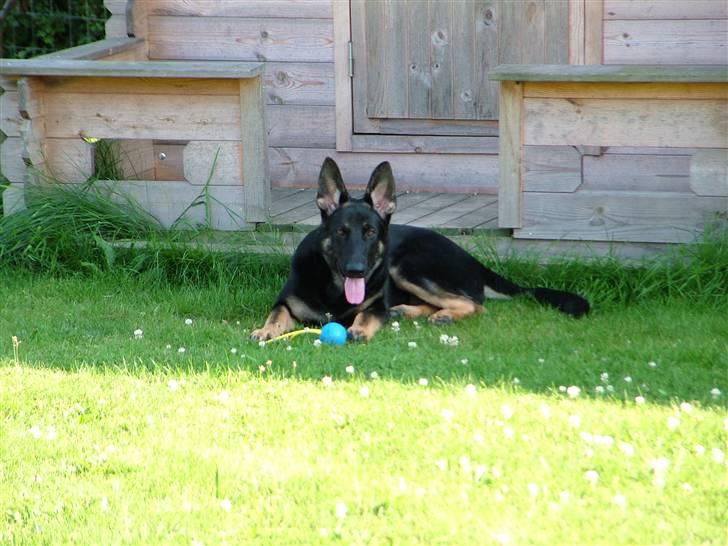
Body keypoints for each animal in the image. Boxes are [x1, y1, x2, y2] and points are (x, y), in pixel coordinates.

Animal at [253, 157, 588, 342]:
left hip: (407, 265)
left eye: (370, 232)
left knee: (474, 304)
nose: (356, 271)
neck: (335, 288)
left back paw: (442, 316)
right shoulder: (284, 302)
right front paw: (265, 330)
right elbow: (276, 315)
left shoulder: (375, 305)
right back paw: (408, 311)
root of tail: (475, 263)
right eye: (341, 232)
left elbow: (368, 314)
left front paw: (360, 329)